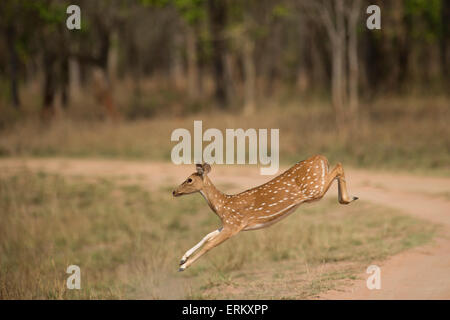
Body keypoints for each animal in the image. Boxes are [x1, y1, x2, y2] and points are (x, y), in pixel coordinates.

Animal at [173, 154, 358, 270]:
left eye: (189, 179)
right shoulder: (228, 224)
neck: (222, 206)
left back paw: (348, 198)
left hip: (313, 190)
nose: (174, 191)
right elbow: (206, 236)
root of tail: (321, 158)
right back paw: (350, 198)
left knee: (338, 166)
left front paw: (183, 266)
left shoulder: (234, 225)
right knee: (338, 166)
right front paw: (182, 258)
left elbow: (210, 244)